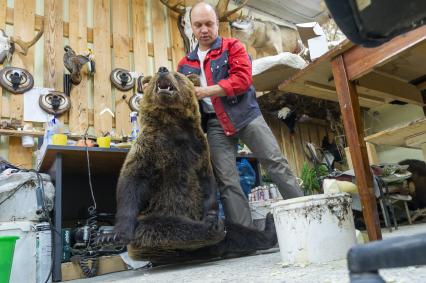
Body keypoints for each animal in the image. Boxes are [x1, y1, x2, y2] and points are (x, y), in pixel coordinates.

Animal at [100, 67, 280, 264]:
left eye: (177, 75)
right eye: (154, 76)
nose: (162, 69)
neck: (171, 122)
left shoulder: (198, 149)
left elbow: (207, 181)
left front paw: (211, 213)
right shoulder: (150, 149)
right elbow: (132, 183)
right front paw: (113, 235)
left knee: (239, 233)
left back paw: (263, 228)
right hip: (151, 230)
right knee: (166, 228)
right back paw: (212, 229)